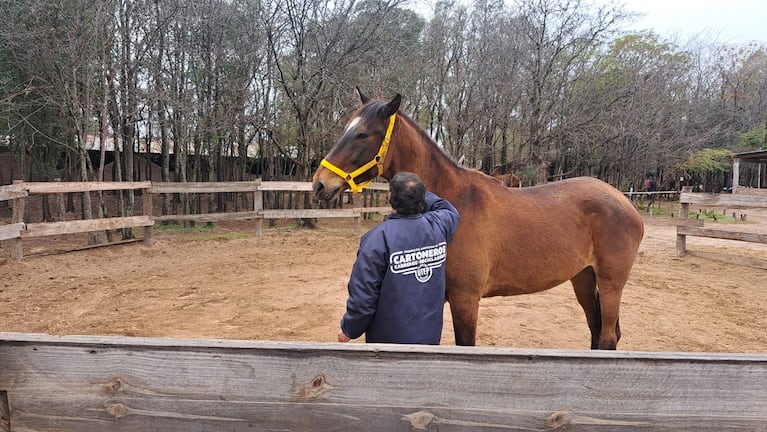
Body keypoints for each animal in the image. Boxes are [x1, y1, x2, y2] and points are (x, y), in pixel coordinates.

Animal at [308, 89, 644, 350]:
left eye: (363, 134)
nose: (320, 184)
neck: (455, 203)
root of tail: (624, 201)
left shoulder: (465, 299)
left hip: (610, 282)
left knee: (607, 337)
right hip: (583, 278)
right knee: (597, 331)